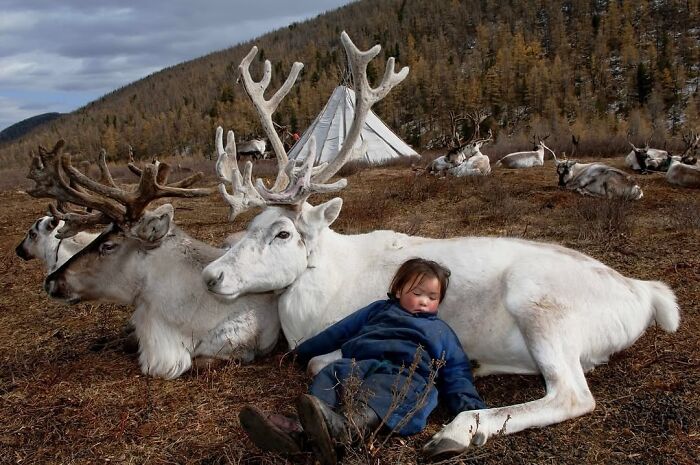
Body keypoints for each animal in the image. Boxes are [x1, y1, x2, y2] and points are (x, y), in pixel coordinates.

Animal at [201, 31, 679, 457]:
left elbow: (321, 362)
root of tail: (645, 294)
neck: (320, 291)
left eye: (283, 232)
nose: (210, 275)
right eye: (249, 226)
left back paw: (458, 431)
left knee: (572, 394)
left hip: (540, 306)